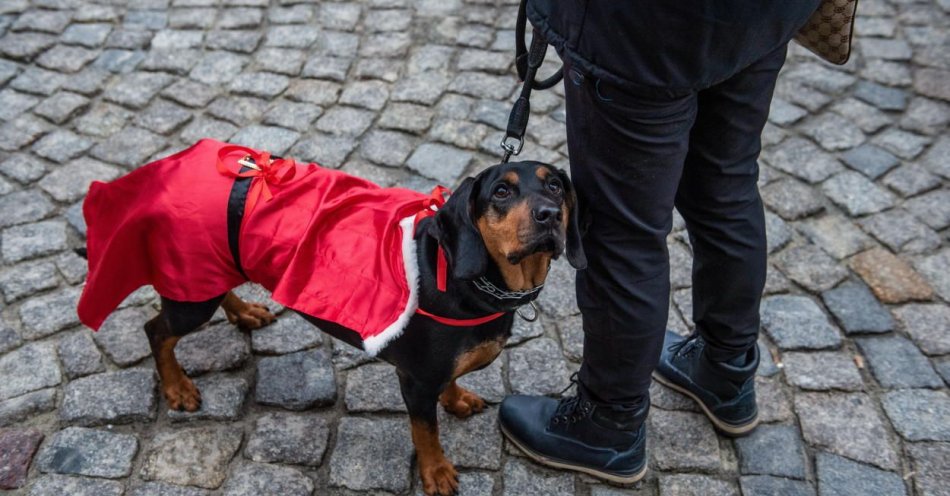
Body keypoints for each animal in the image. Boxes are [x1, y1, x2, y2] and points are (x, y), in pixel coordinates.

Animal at [78, 140, 588, 496]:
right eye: (501, 190)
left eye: (555, 185)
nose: (549, 215)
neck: (470, 279)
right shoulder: (415, 380)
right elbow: (425, 431)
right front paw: (437, 472)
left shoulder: (437, 369)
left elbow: (451, 382)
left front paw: (457, 398)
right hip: (190, 298)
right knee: (156, 331)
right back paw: (177, 386)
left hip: (212, 267)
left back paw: (244, 312)